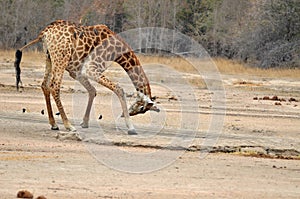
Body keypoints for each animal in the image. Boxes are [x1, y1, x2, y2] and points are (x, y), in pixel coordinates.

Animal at [14, 20, 159, 134]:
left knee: (44, 85)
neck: (118, 51)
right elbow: (118, 89)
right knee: (54, 86)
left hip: (49, 56)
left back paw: (54, 124)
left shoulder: (77, 72)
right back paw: (68, 125)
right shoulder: (90, 69)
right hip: (61, 57)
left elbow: (92, 90)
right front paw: (131, 127)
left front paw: (84, 122)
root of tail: (44, 33)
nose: (124, 114)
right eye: (142, 108)